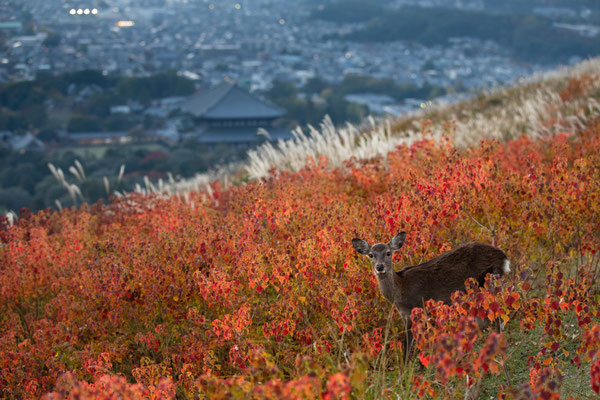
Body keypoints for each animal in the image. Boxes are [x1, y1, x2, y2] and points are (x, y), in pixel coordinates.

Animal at [352, 233, 510, 364]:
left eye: (388, 253)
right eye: (371, 255)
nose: (379, 267)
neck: (400, 291)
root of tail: (503, 258)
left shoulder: (416, 308)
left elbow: (409, 343)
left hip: (484, 282)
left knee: (494, 316)